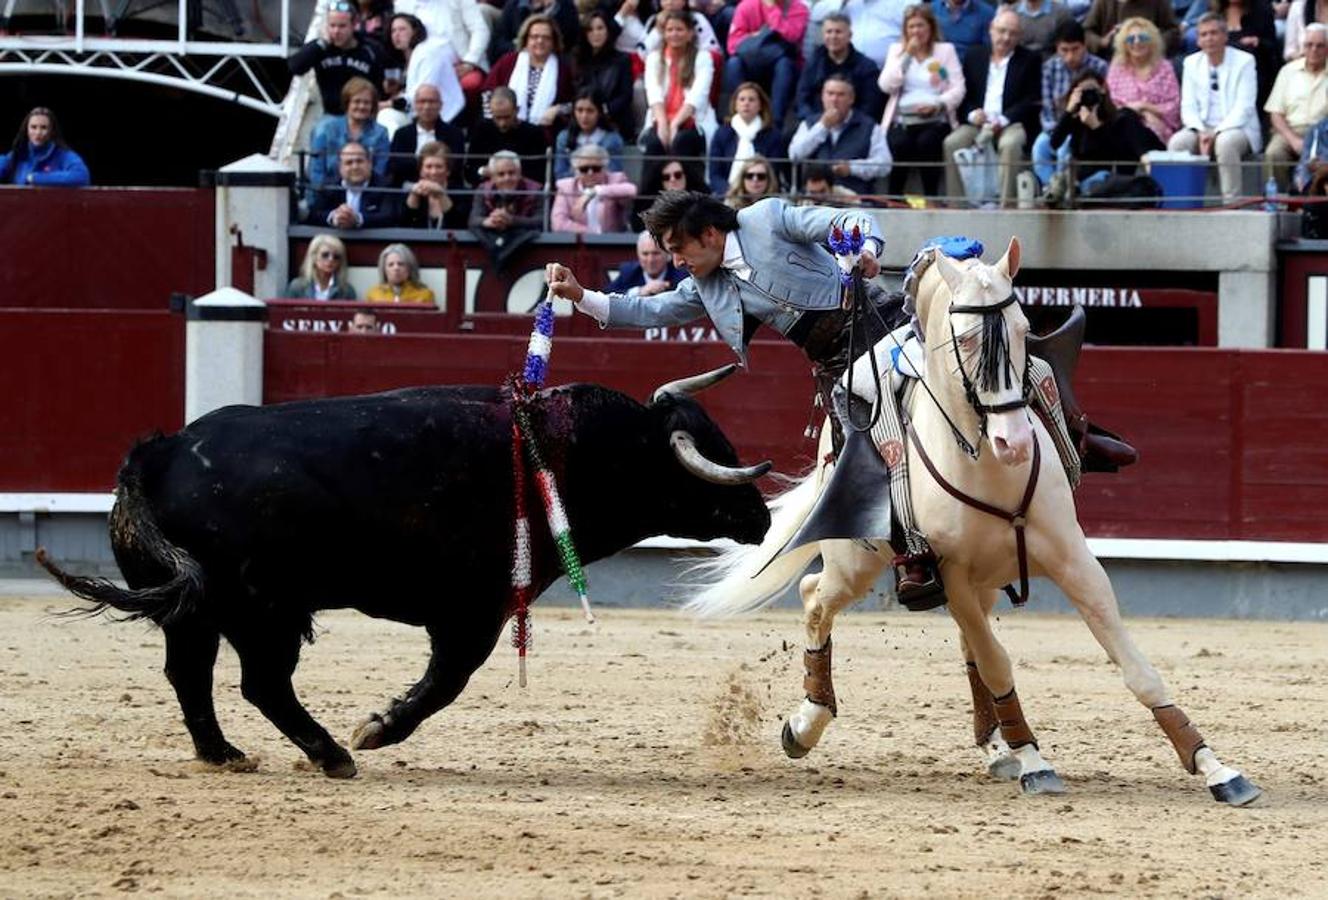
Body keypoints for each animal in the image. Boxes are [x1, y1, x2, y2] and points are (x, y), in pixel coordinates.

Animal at [38, 366, 770, 775]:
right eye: (705, 458)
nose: (761, 518)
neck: (567, 454)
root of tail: (159, 452)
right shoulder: (473, 610)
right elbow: (447, 681)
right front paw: (377, 729)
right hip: (264, 612)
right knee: (262, 683)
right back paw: (332, 755)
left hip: (195, 611)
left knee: (190, 675)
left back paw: (225, 756)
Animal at [690, 236, 1258, 807]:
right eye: (963, 340)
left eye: (1025, 330)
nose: (1015, 442)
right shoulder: (953, 575)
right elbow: (999, 663)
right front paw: (1036, 761)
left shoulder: (1074, 560)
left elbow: (1134, 667)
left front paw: (1216, 768)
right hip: (860, 564)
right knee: (816, 598)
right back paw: (806, 725)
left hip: (983, 579)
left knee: (969, 644)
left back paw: (996, 747)